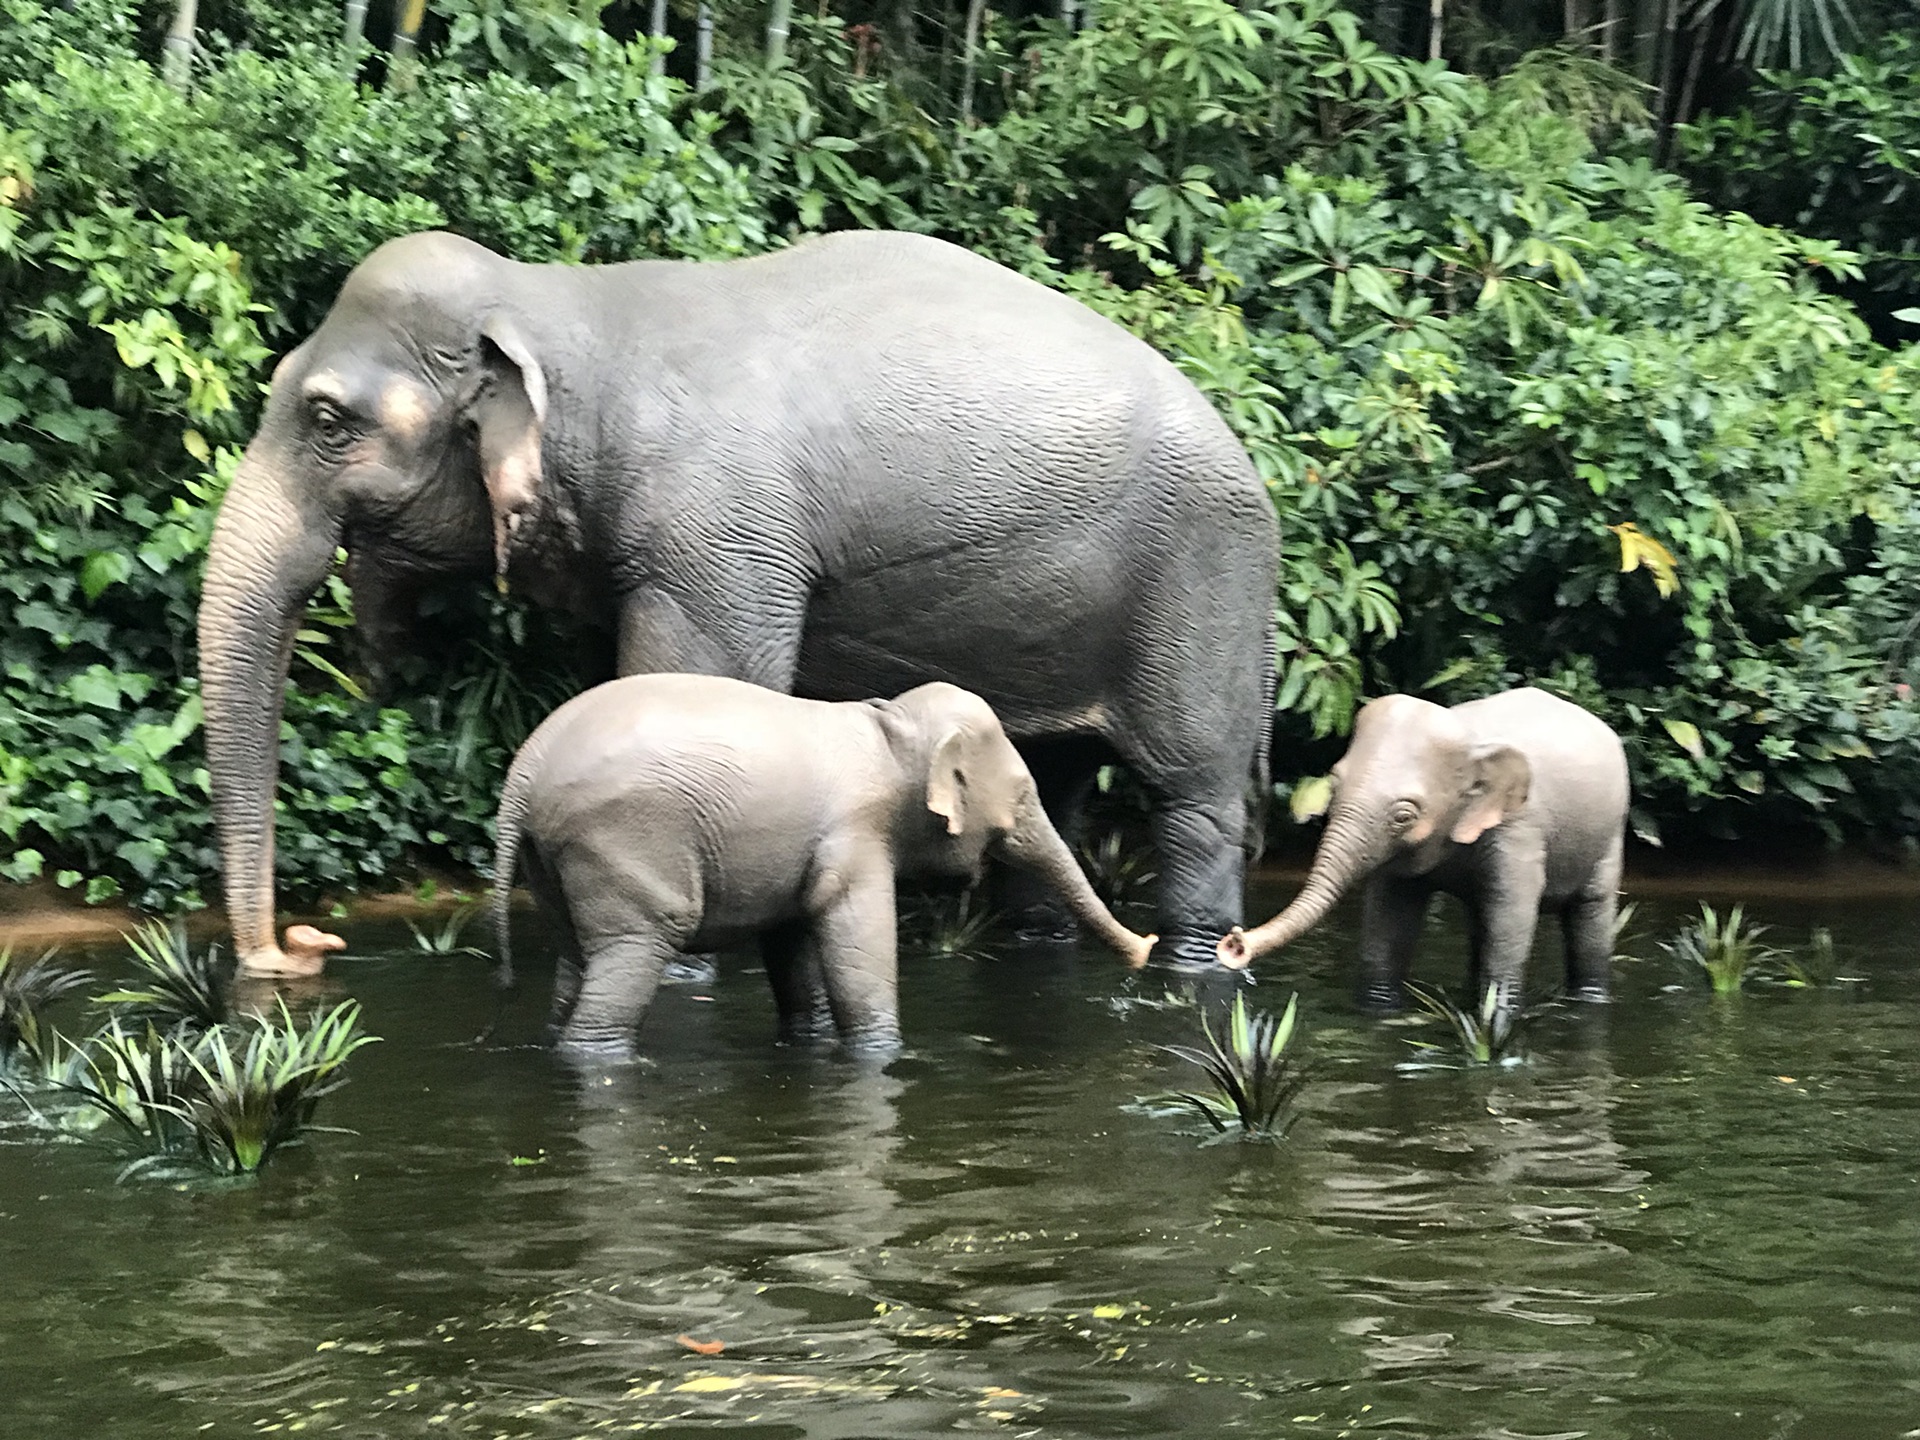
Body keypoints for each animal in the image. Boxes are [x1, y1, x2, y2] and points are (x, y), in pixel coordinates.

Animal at [495, 675, 1152, 1059]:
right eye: (1021, 796)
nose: (1146, 950)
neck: (891, 724)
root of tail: (524, 771)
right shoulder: (856, 835)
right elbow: (855, 939)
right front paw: (883, 1055)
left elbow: (791, 943)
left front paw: (807, 1042)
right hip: (621, 843)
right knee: (635, 949)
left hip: (555, 860)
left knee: (575, 958)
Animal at [1221, 687, 1628, 1013]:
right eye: (1333, 786)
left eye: (1404, 815)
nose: (1234, 942)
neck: (1469, 736)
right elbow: (1390, 915)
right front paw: (1380, 1008)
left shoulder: (1519, 830)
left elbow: (1510, 917)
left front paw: (1496, 1017)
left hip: (1611, 834)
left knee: (1590, 911)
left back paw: (1589, 998)